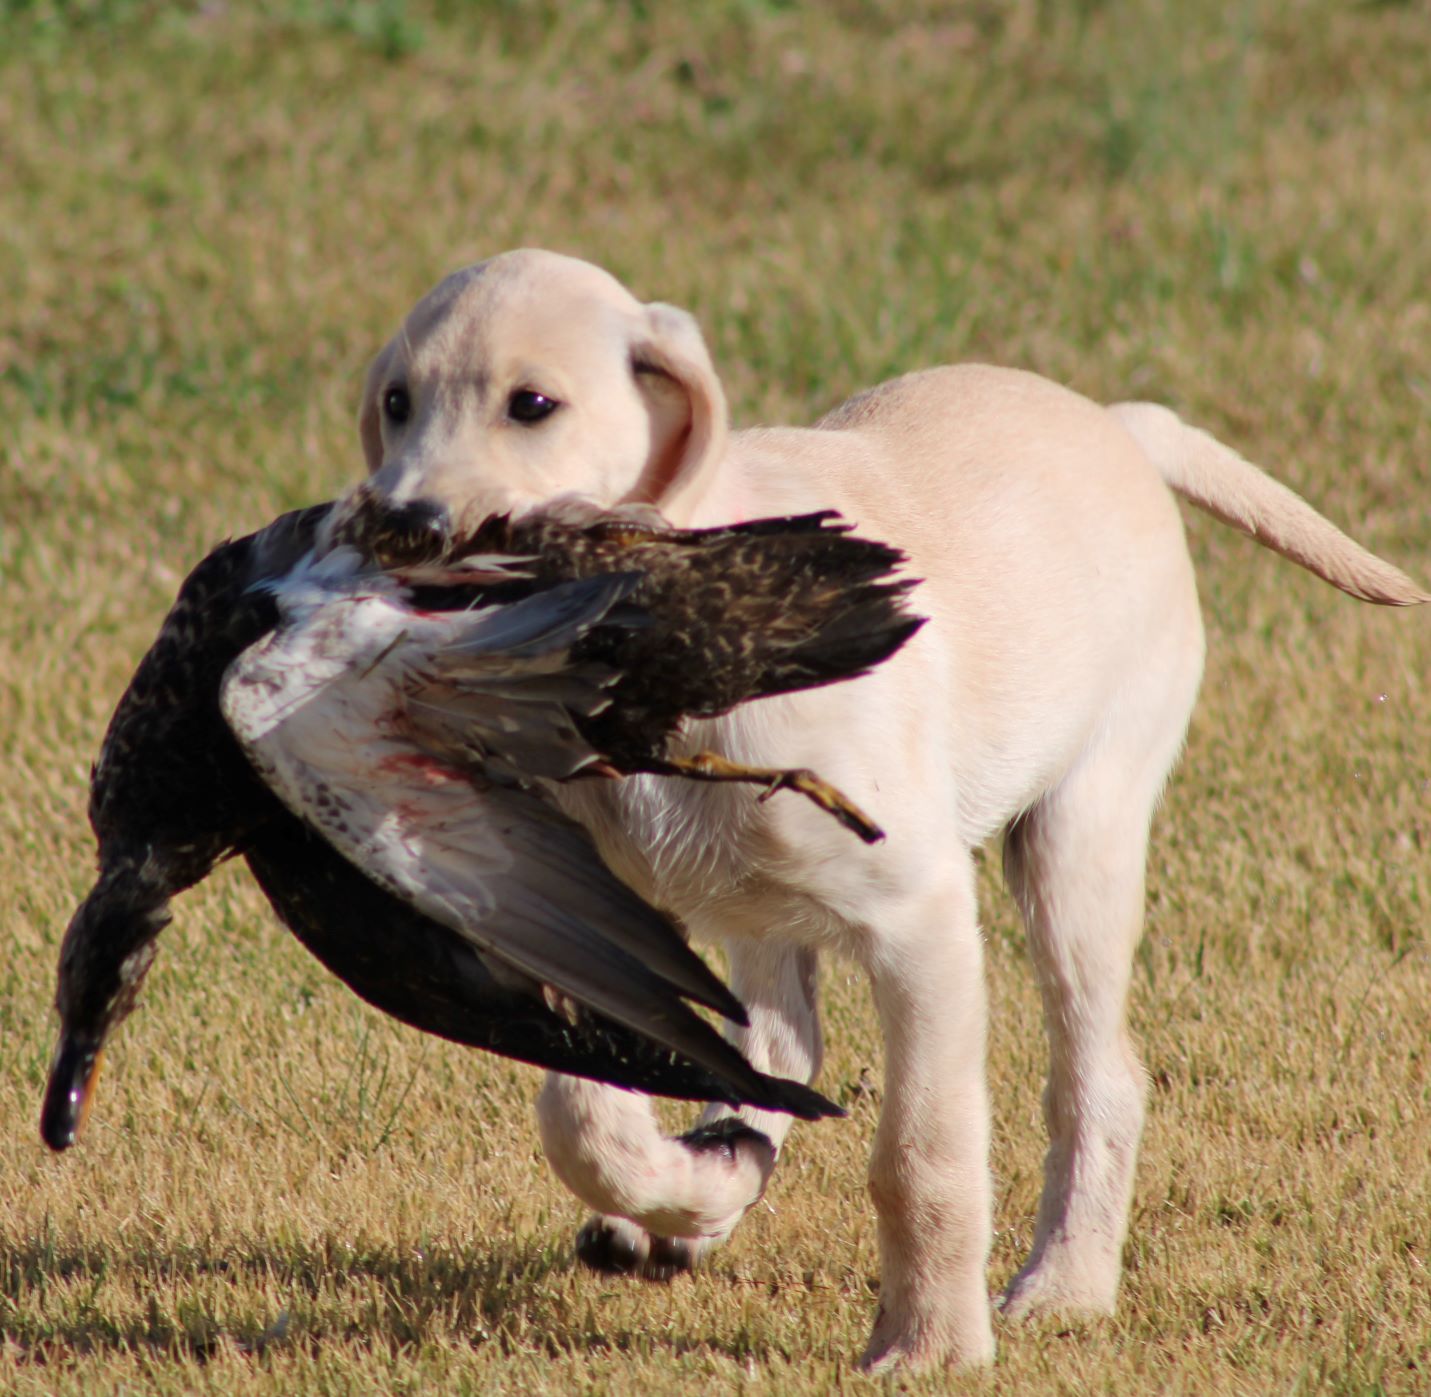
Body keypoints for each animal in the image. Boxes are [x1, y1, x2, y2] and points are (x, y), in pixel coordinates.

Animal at [331, 246, 1419, 1368]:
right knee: (781, 1048)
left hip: (1080, 837)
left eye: (533, 404)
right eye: (396, 402)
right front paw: (682, 1188)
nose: (401, 525)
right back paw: (705, 1191)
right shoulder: (599, 921)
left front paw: (934, 1341)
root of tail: (1116, 422)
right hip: (769, 902)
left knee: (1097, 1075)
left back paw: (1066, 1282)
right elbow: (580, 1109)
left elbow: (920, 1150)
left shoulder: (920, 924)